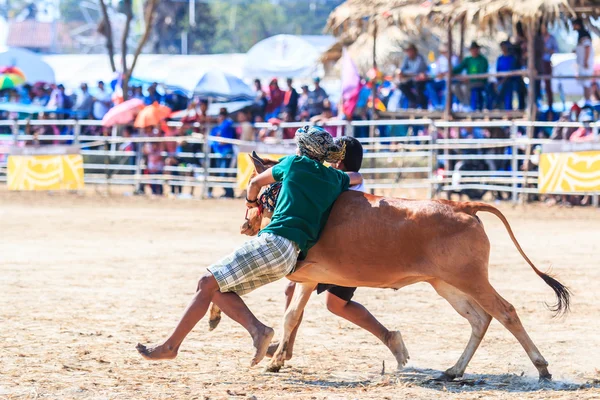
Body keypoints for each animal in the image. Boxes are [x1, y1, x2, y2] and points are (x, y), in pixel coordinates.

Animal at [214, 153, 568, 382]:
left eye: (253, 185)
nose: (245, 224)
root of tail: (462, 205)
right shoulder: (311, 278)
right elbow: (291, 315)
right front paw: (276, 359)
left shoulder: (307, 273)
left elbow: (287, 312)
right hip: (447, 284)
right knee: (480, 319)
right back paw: (453, 370)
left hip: (471, 279)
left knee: (506, 311)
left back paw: (541, 368)